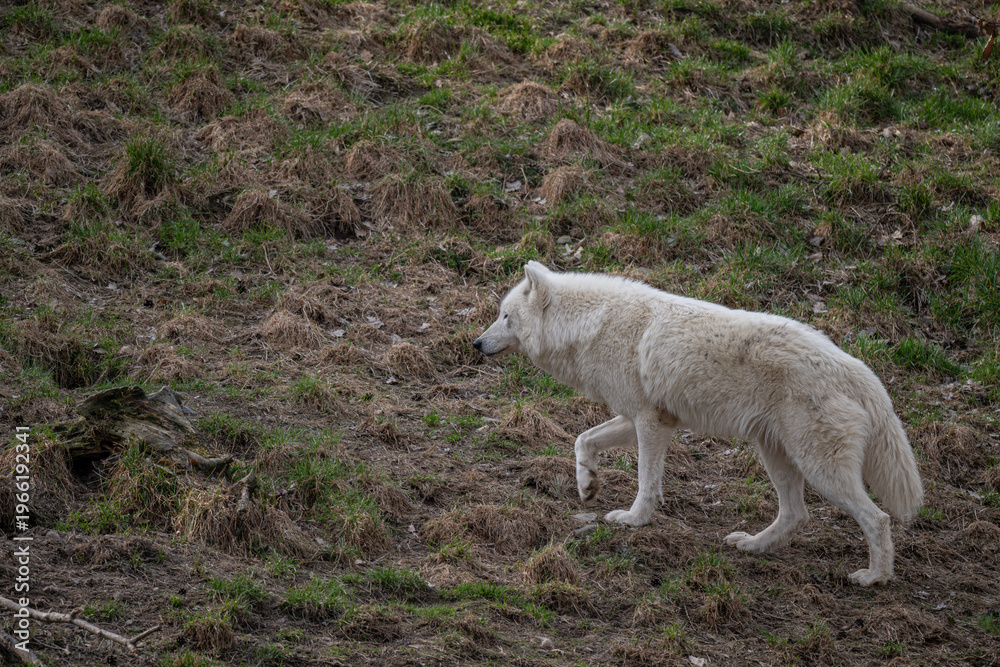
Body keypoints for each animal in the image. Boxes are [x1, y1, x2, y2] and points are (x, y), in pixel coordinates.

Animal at [473, 262, 923, 585]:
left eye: (505, 316)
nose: (476, 343)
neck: (590, 325)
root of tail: (859, 372)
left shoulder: (650, 421)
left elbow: (645, 481)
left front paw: (634, 521)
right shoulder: (640, 417)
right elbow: (583, 440)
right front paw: (587, 484)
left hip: (819, 469)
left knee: (877, 518)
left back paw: (874, 577)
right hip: (776, 456)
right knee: (797, 515)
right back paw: (753, 546)